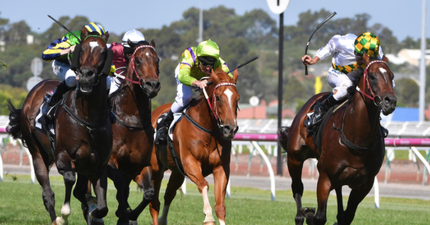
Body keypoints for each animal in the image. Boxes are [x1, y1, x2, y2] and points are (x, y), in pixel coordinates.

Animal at [6, 26, 112, 225]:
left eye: (103, 51)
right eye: (81, 49)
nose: (86, 76)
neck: (89, 119)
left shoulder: (97, 164)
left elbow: (100, 207)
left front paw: (93, 209)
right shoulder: (63, 156)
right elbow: (70, 180)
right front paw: (64, 214)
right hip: (37, 152)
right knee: (48, 194)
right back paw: (56, 217)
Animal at [107, 39, 161, 224]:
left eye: (157, 60)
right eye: (138, 60)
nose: (152, 85)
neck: (131, 121)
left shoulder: (139, 166)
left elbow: (149, 193)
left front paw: (130, 215)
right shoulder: (110, 162)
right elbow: (120, 187)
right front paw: (123, 213)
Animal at [149, 68, 240, 225]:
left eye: (237, 99)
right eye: (218, 97)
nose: (230, 129)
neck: (208, 129)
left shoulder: (220, 167)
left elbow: (220, 206)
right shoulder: (190, 162)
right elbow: (203, 184)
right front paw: (208, 217)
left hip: (177, 171)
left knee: (169, 193)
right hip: (155, 168)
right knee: (154, 203)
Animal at [278, 53, 396, 225]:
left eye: (392, 76)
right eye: (373, 76)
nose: (390, 101)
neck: (357, 138)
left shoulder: (365, 183)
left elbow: (347, 216)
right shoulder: (325, 176)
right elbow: (320, 216)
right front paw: (309, 213)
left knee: (339, 194)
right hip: (295, 157)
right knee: (297, 188)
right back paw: (300, 215)